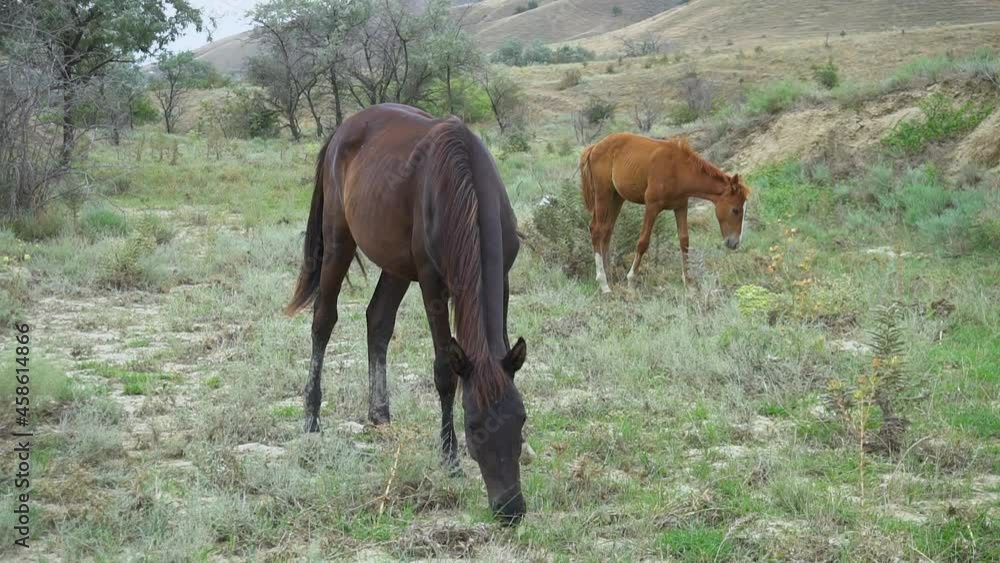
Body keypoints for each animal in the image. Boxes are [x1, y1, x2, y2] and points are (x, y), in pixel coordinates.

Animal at [284, 104, 528, 523]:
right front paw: (449, 458)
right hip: (338, 241)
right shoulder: (432, 284)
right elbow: (445, 371)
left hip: (395, 265)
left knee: (378, 320)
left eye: (522, 418)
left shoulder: (503, 279)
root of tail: (342, 131)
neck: (465, 185)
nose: (511, 508)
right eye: (472, 424)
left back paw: (379, 412)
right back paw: (311, 419)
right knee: (323, 320)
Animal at [580, 133, 751, 292]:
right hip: (603, 194)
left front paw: (688, 284)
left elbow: (684, 241)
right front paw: (631, 280)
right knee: (597, 230)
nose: (735, 243)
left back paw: (609, 277)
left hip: (617, 198)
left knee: (606, 231)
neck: (678, 169)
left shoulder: (680, 207)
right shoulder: (652, 206)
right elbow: (643, 242)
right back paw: (604, 284)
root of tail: (593, 147)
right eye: (735, 210)